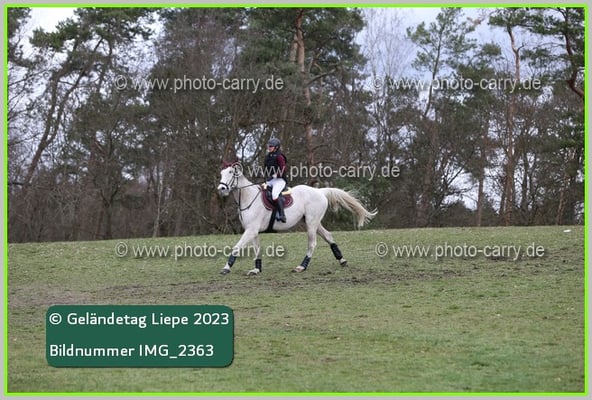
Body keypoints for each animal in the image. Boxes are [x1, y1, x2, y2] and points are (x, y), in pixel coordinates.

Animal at [216, 162, 377, 275]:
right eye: (221, 173)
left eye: (231, 173)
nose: (221, 189)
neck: (248, 198)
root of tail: (320, 191)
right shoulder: (253, 231)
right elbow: (257, 250)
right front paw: (256, 269)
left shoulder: (251, 230)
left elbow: (236, 247)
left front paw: (226, 268)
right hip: (313, 222)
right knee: (329, 236)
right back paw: (342, 260)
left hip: (311, 223)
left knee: (312, 244)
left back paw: (301, 267)